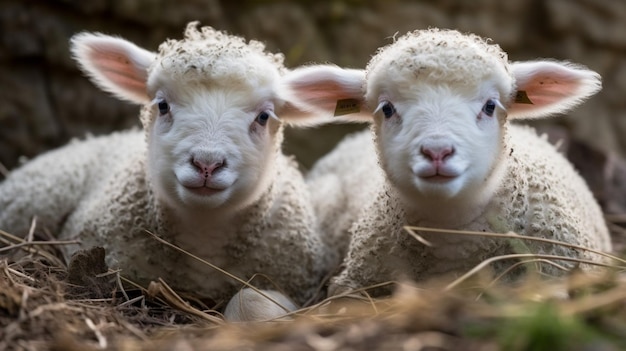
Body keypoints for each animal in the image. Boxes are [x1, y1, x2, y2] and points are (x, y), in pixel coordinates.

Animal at [0, 20, 336, 320]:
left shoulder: (298, 287)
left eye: (264, 117)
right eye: (162, 105)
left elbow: (251, 301)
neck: (204, 237)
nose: (206, 163)